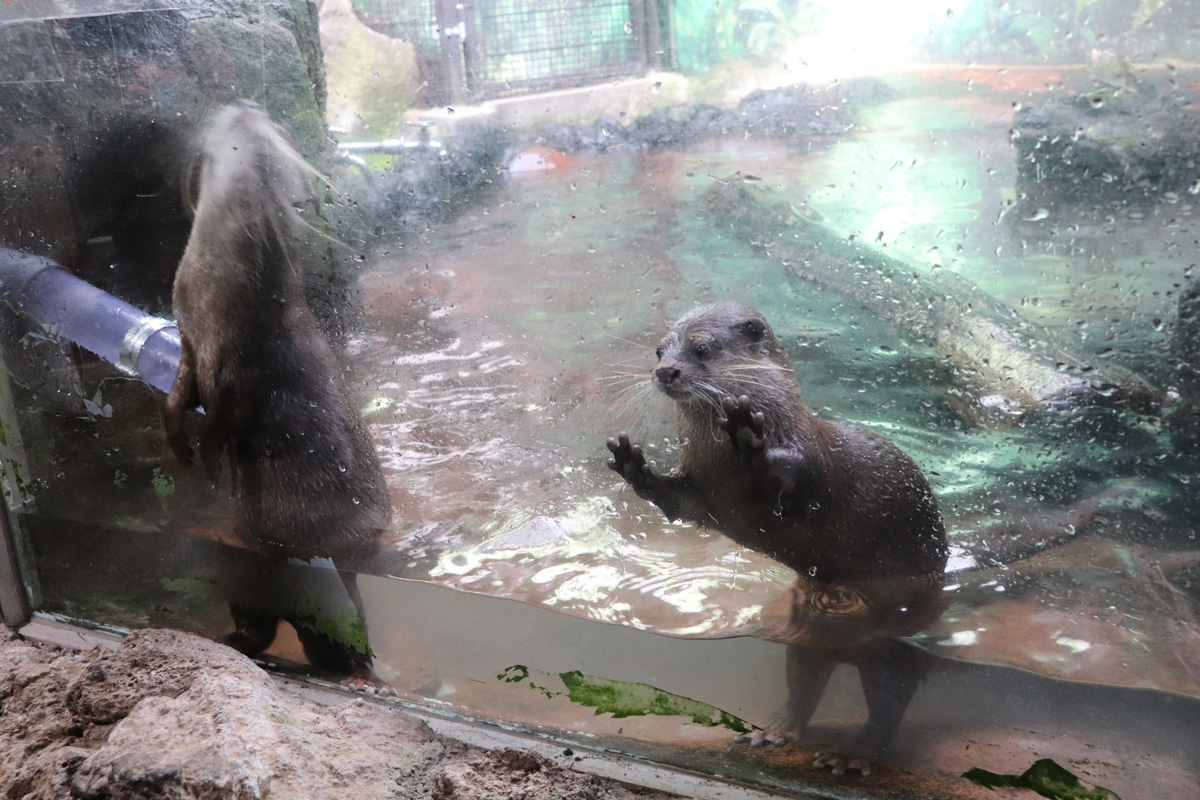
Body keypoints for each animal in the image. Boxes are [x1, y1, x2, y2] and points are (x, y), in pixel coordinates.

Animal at [164, 101, 392, 685]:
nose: (247, 106)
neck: (213, 287)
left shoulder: (249, 363)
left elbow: (227, 416)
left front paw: (209, 460)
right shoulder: (189, 337)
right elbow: (178, 393)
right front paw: (177, 442)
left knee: (332, 639)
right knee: (269, 628)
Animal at [606, 301, 947, 774]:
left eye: (701, 348)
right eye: (659, 350)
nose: (665, 372)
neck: (720, 462)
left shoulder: (810, 456)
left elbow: (800, 475)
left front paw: (751, 437)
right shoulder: (704, 494)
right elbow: (677, 502)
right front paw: (634, 466)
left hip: (893, 651)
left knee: (887, 711)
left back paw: (852, 756)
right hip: (801, 643)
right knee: (803, 685)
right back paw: (772, 732)